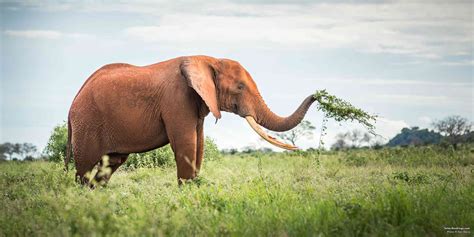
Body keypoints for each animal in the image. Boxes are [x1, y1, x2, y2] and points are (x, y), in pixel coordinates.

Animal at [63, 56, 314, 185]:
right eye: (240, 87)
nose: (316, 95)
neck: (208, 60)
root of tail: (74, 99)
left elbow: (199, 144)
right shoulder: (177, 99)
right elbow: (186, 143)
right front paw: (186, 191)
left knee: (109, 165)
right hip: (87, 124)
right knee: (85, 169)